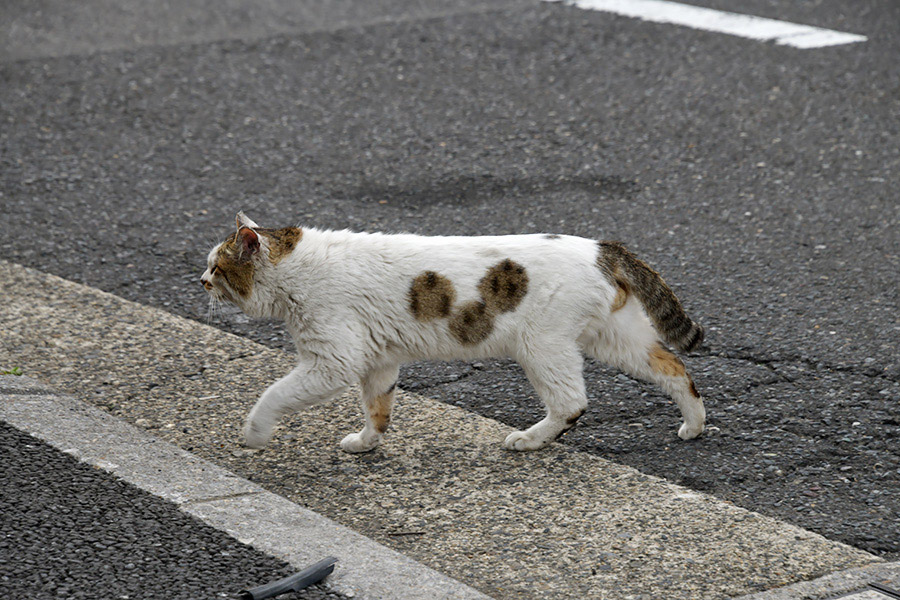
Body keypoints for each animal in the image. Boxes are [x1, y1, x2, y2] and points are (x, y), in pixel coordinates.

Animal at [200, 213, 708, 452]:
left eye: (216, 267)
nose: (200, 280)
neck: (297, 267)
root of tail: (603, 248)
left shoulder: (331, 362)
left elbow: (273, 394)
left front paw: (254, 432)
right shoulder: (378, 361)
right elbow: (378, 409)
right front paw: (366, 443)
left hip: (541, 347)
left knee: (571, 403)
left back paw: (531, 439)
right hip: (616, 339)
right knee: (674, 369)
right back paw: (694, 425)